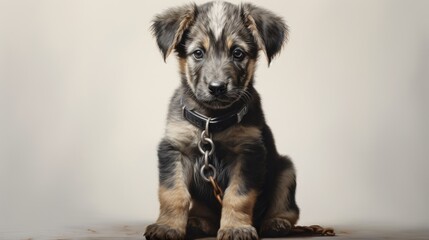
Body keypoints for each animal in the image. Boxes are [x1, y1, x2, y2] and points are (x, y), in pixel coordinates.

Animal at [144, 0, 298, 239]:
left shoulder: (248, 152)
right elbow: (173, 194)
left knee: (289, 210)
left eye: (238, 53)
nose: (217, 88)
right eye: (198, 53)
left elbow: (237, 196)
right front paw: (167, 226)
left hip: (286, 169)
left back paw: (276, 222)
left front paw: (235, 227)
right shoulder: (174, 148)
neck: (211, 120)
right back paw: (199, 221)